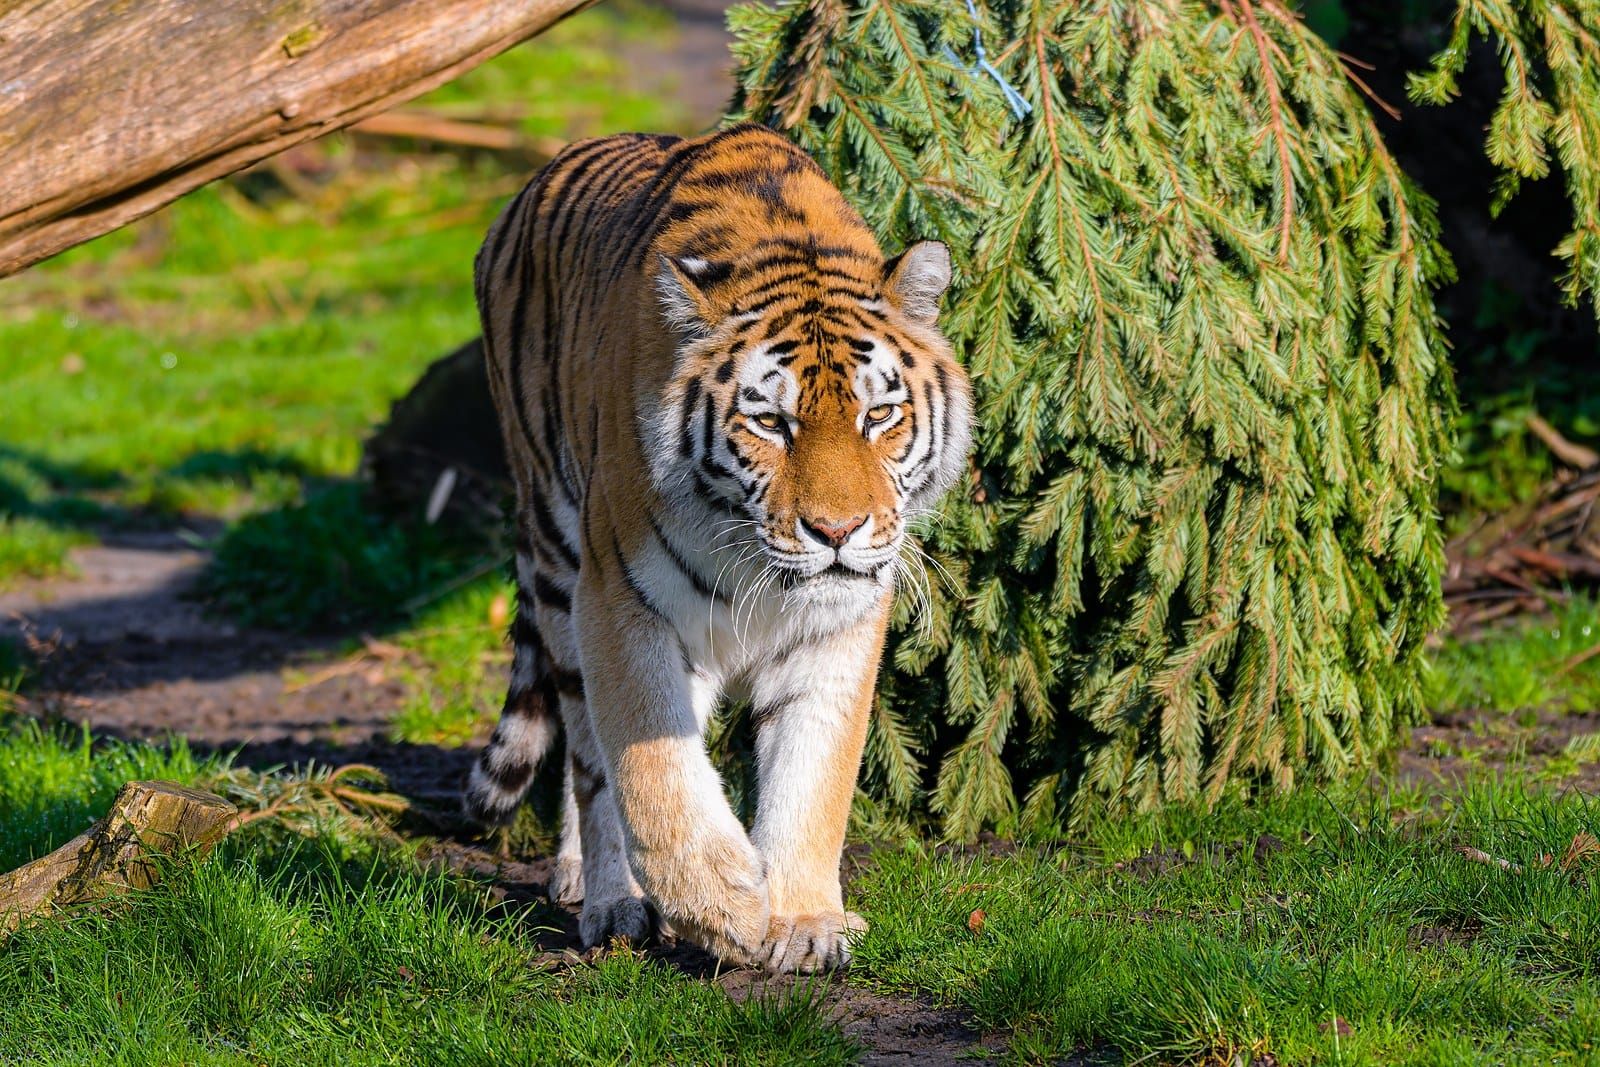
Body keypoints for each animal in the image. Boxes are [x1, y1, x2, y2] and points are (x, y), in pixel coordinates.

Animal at [463, 123, 973, 973]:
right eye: (771, 422)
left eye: (879, 416)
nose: (838, 532)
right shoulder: (619, 599)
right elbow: (650, 766)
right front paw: (723, 903)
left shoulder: (841, 625)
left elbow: (814, 775)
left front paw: (803, 919)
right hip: (558, 554)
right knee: (589, 761)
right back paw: (606, 895)